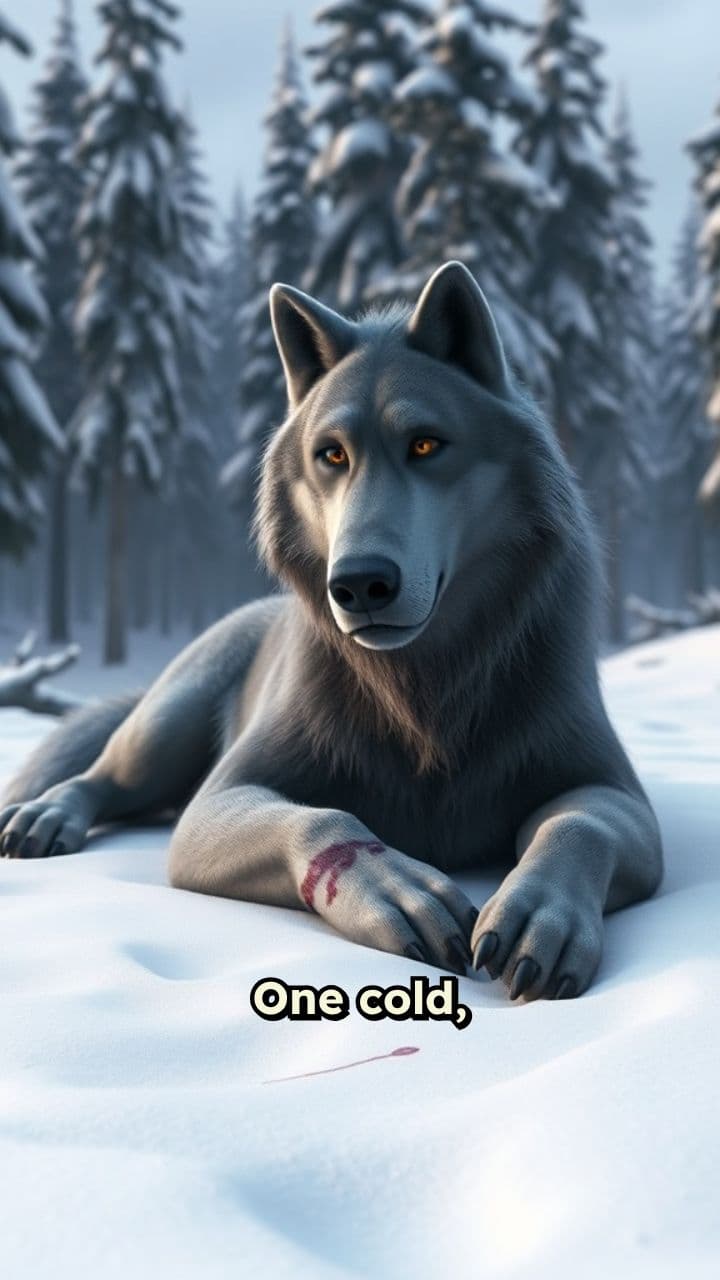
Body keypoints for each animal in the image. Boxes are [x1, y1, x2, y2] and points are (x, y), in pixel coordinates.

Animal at [0, 261, 662, 1001]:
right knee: (103, 779)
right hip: (162, 732)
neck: (423, 690)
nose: (358, 584)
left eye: (425, 444)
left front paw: (541, 913)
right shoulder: (218, 800)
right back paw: (45, 817)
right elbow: (325, 816)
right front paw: (397, 890)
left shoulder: (616, 791)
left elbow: (578, 822)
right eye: (332, 456)